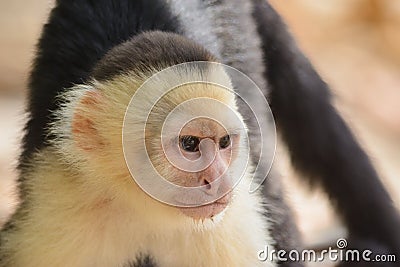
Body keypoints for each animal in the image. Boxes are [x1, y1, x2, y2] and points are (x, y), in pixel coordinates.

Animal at [0, 0, 400, 267]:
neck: (143, 207)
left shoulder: (230, 224)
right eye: (189, 144)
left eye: (223, 143)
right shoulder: (59, 202)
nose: (218, 180)